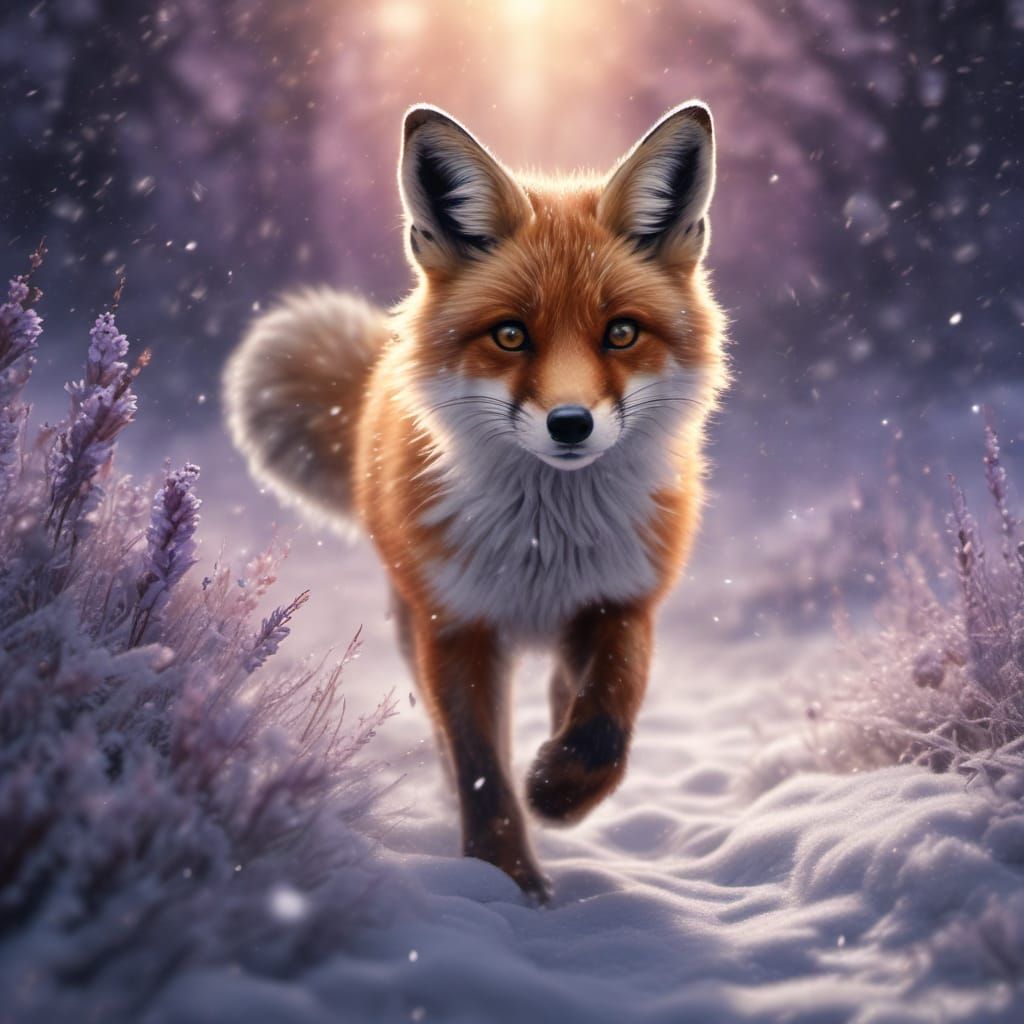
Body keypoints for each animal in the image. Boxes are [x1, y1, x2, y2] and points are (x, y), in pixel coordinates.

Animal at [224, 102, 727, 901]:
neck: (544, 545)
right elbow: (481, 768)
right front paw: (508, 880)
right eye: (511, 335)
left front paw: (561, 791)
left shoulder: (623, 599)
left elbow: (608, 721)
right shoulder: (456, 625)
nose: (570, 423)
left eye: (621, 332)